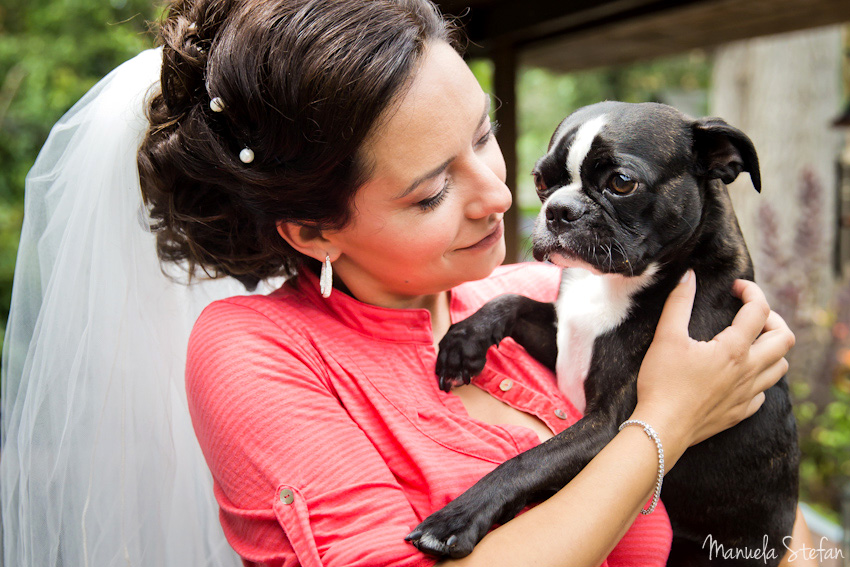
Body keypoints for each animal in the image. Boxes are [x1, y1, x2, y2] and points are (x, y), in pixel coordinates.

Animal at [408, 102, 800, 567]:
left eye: (621, 183)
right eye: (541, 181)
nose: (559, 209)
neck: (612, 283)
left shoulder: (609, 426)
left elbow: (529, 462)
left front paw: (456, 519)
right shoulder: (564, 340)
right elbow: (512, 299)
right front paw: (463, 341)